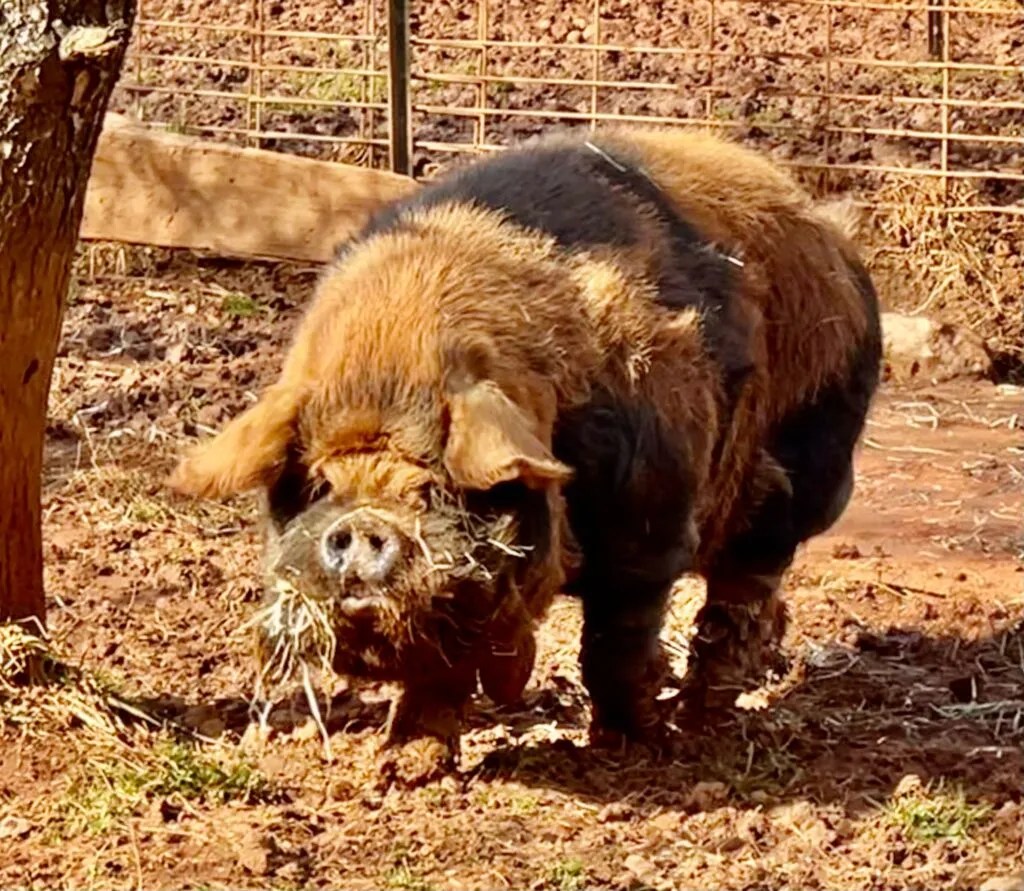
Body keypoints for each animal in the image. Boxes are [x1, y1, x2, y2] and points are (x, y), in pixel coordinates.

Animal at [169, 127, 881, 781]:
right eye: (319, 484)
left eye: (432, 486)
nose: (361, 526)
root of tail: (830, 232)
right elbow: (440, 670)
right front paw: (403, 770)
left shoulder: (651, 532)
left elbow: (614, 646)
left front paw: (632, 745)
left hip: (806, 469)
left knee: (744, 587)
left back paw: (701, 719)